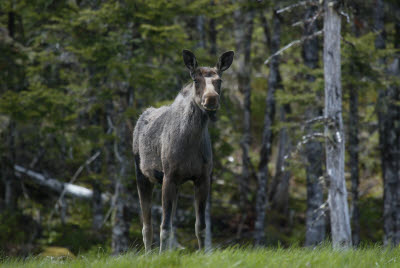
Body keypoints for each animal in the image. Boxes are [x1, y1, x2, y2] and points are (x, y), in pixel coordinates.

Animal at [133, 49, 234, 252]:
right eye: (195, 80)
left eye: (219, 80)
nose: (211, 99)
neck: (191, 142)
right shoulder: (169, 176)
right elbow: (164, 227)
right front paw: (162, 255)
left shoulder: (202, 177)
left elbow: (200, 226)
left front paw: (203, 253)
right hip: (142, 175)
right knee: (147, 226)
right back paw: (149, 254)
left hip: (176, 184)